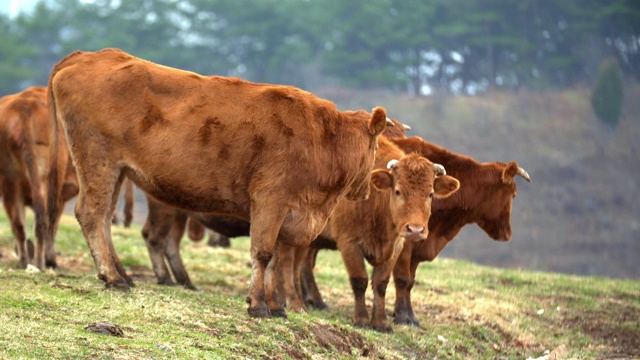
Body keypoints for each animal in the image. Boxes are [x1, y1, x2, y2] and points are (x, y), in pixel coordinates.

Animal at [0, 86, 77, 268]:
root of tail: (25, 107)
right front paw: (51, 260)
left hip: (10, 180)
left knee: (19, 225)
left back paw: (25, 261)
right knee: (44, 221)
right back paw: (41, 262)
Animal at [47, 47, 388, 318]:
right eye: (377, 147)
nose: (365, 190)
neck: (322, 139)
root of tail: (88, 55)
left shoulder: (286, 213)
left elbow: (277, 261)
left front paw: (275, 306)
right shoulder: (270, 200)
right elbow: (263, 254)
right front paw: (258, 306)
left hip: (115, 170)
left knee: (105, 217)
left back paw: (122, 274)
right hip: (96, 158)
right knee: (91, 214)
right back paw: (112, 277)